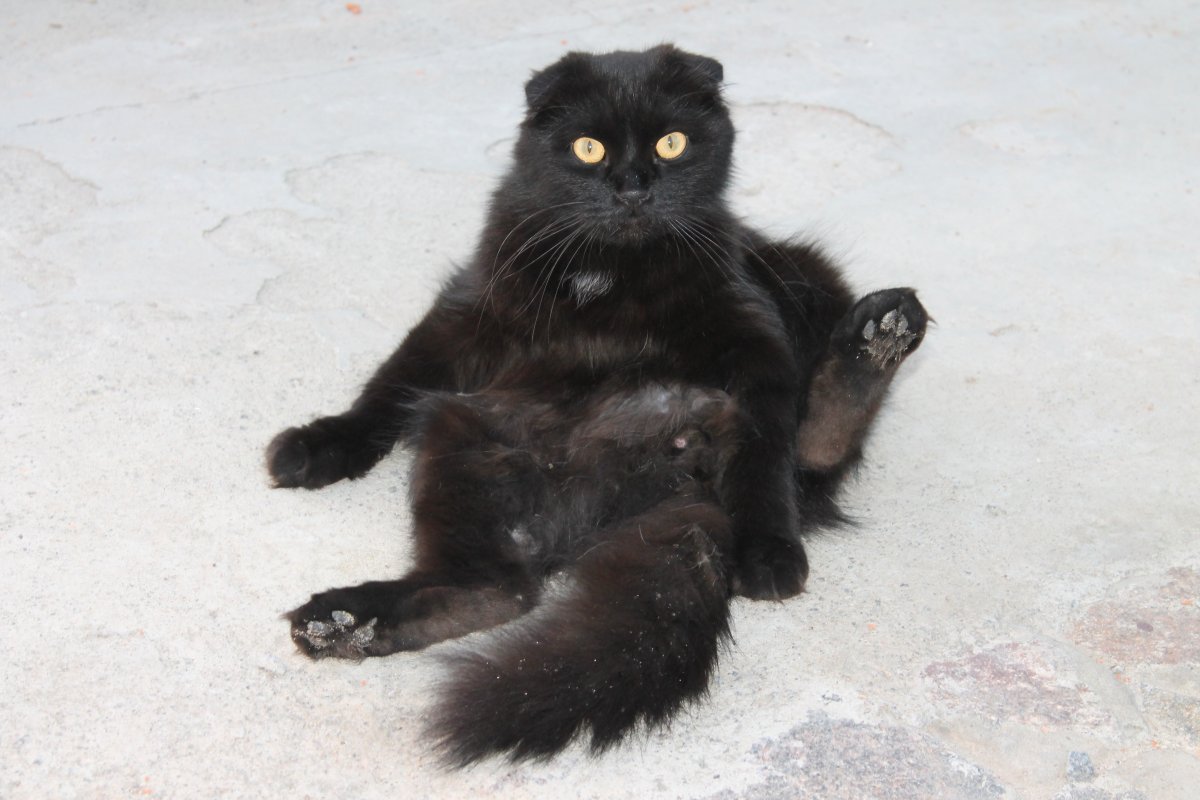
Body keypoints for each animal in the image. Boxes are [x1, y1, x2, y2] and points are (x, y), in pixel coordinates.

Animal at [266, 44, 927, 765]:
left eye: (672, 143)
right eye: (588, 148)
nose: (632, 186)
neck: (613, 270)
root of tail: (675, 474)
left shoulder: (753, 335)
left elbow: (765, 452)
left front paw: (769, 548)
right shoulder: (467, 314)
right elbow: (391, 383)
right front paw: (320, 445)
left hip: (803, 275)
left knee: (814, 450)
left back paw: (879, 335)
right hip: (466, 437)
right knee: (497, 590)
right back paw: (346, 624)